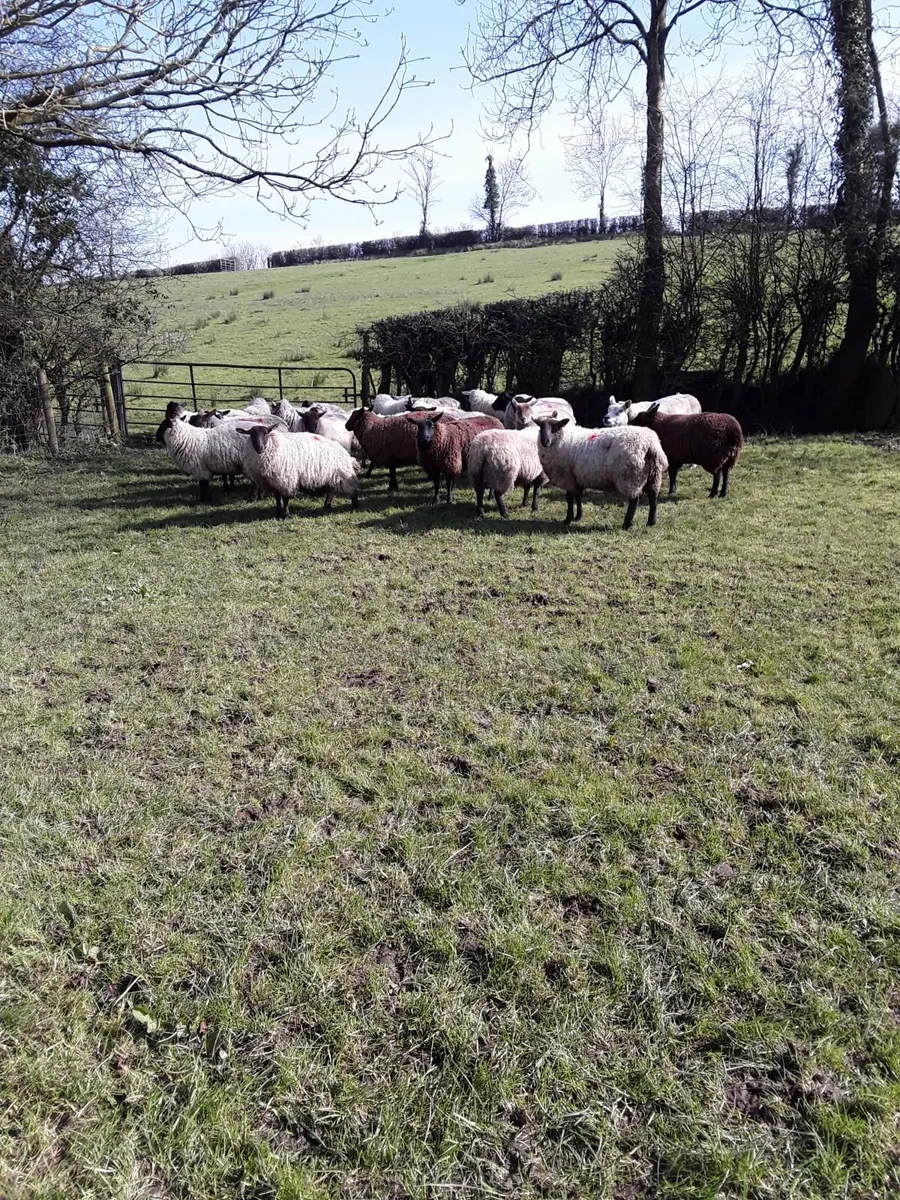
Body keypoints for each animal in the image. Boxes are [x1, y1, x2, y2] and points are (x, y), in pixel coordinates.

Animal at [536, 416, 668, 530]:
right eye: (540, 427)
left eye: (556, 427)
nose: (544, 441)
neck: (563, 438)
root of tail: (651, 445)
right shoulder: (577, 477)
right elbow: (578, 496)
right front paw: (578, 516)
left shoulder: (568, 477)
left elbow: (569, 498)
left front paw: (568, 519)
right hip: (654, 475)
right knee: (653, 497)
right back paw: (651, 522)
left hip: (631, 475)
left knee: (634, 500)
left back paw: (627, 524)